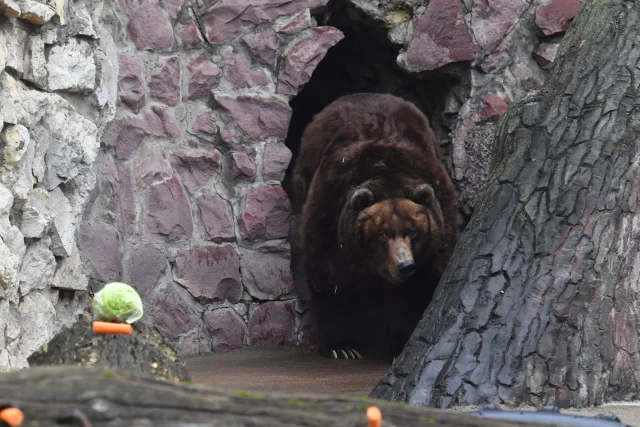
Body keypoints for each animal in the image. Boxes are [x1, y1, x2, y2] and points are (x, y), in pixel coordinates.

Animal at [292, 93, 459, 360]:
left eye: (413, 232)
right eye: (382, 234)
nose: (405, 265)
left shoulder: (437, 228)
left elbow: (419, 287)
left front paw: (401, 342)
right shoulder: (331, 213)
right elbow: (330, 279)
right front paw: (342, 346)